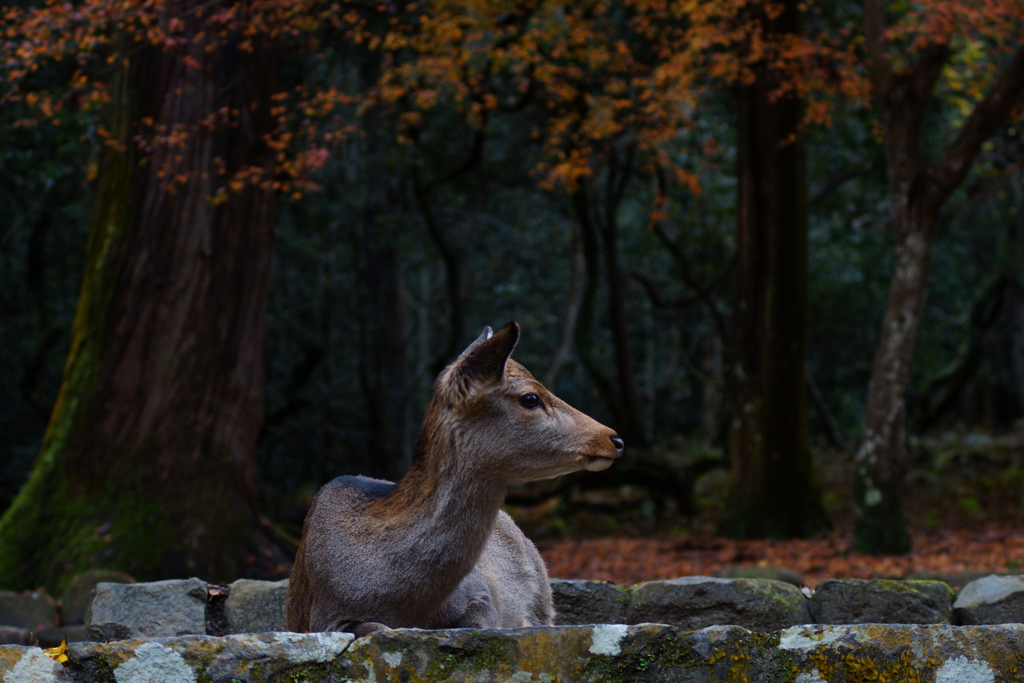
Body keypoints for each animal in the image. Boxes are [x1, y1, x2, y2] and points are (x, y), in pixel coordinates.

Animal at [288, 321, 622, 634]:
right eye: (530, 398)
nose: (614, 438)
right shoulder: (321, 617)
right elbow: (369, 626)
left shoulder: (480, 592)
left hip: (541, 587)